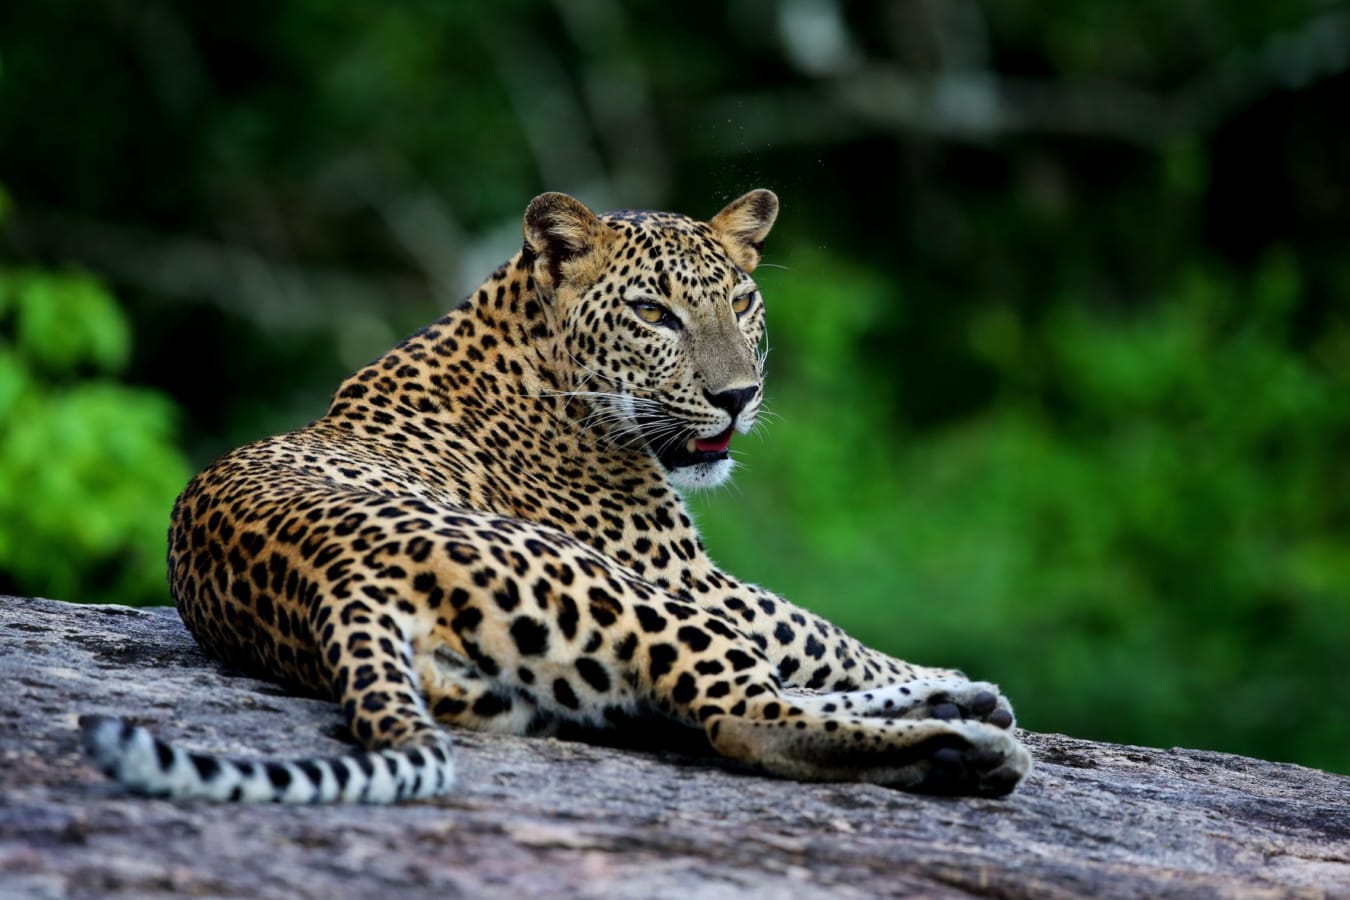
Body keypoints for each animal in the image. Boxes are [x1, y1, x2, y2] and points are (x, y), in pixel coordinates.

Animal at [81, 190, 1032, 803]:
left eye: (742, 301)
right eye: (654, 314)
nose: (738, 397)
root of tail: (334, 585)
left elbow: (810, 636)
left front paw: (950, 681)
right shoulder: (685, 573)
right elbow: (816, 629)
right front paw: (942, 675)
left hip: (542, 688)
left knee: (703, 703)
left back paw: (962, 717)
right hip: (623, 593)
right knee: (741, 713)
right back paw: (965, 749)